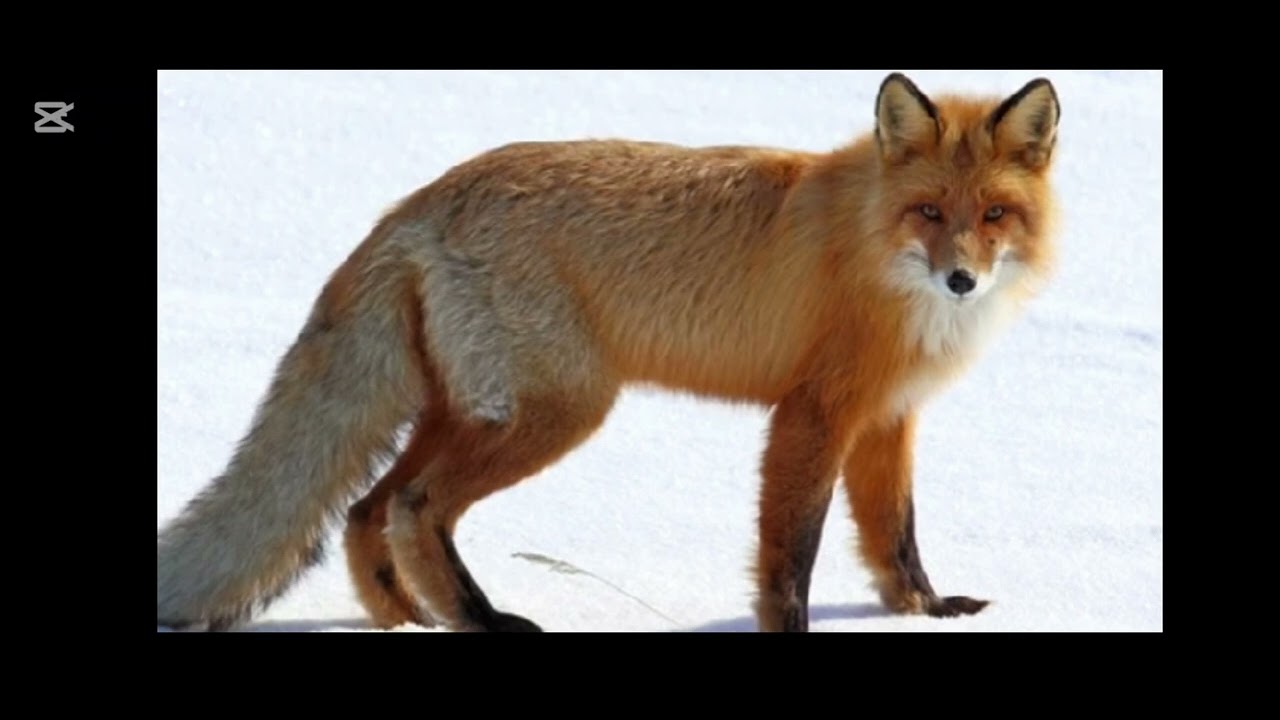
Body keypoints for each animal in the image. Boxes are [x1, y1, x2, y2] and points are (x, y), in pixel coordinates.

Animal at [157, 72, 1060, 632]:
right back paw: (479, 620)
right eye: (928, 211)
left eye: (994, 215)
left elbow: (895, 539)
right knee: (413, 506)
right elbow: (790, 555)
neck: (874, 251)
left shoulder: (886, 417)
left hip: (465, 410)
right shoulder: (812, 415)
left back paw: (410, 622)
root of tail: (418, 200)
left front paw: (925, 615)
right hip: (560, 411)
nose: (960, 281)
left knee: (363, 509)